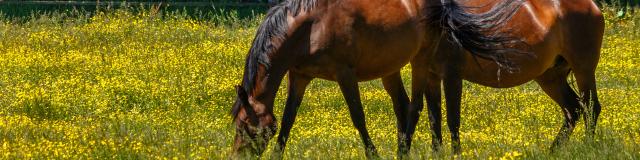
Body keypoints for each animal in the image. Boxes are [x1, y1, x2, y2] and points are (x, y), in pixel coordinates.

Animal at [230, 0, 524, 158]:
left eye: (247, 128)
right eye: (238, 124)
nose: (236, 156)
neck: (311, 26)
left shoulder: (345, 74)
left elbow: (357, 116)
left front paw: (373, 153)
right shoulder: (299, 77)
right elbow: (288, 120)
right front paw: (278, 154)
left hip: (421, 60)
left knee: (415, 106)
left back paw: (403, 152)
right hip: (390, 69)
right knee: (404, 106)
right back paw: (403, 149)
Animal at [404, 0, 604, 155]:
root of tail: (592, 6)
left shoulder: (452, 75)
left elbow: (453, 119)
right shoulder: (431, 76)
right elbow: (434, 119)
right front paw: (436, 153)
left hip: (583, 70)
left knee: (591, 107)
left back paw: (587, 145)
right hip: (551, 78)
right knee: (573, 109)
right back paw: (553, 150)